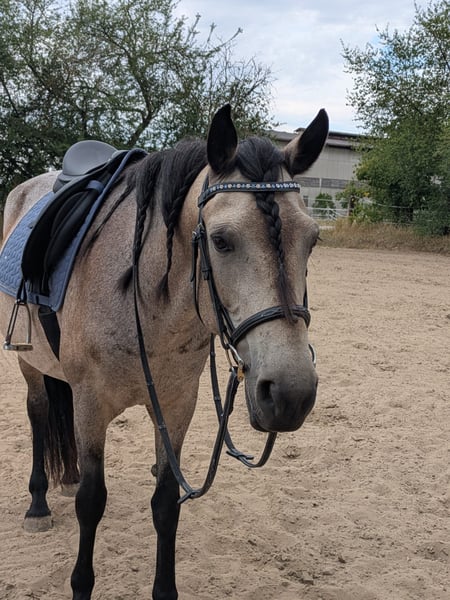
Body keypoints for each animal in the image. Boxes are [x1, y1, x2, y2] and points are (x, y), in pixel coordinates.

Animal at [0, 104, 328, 599]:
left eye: (312, 240)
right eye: (221, 241)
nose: (290, 394)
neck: (144, 298)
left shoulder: (176, 406)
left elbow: (166, 503)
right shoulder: (91, 405)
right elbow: (91, 502)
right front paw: (81, 584)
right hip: (30, 362)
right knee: (39, 415)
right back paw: (38, 503)